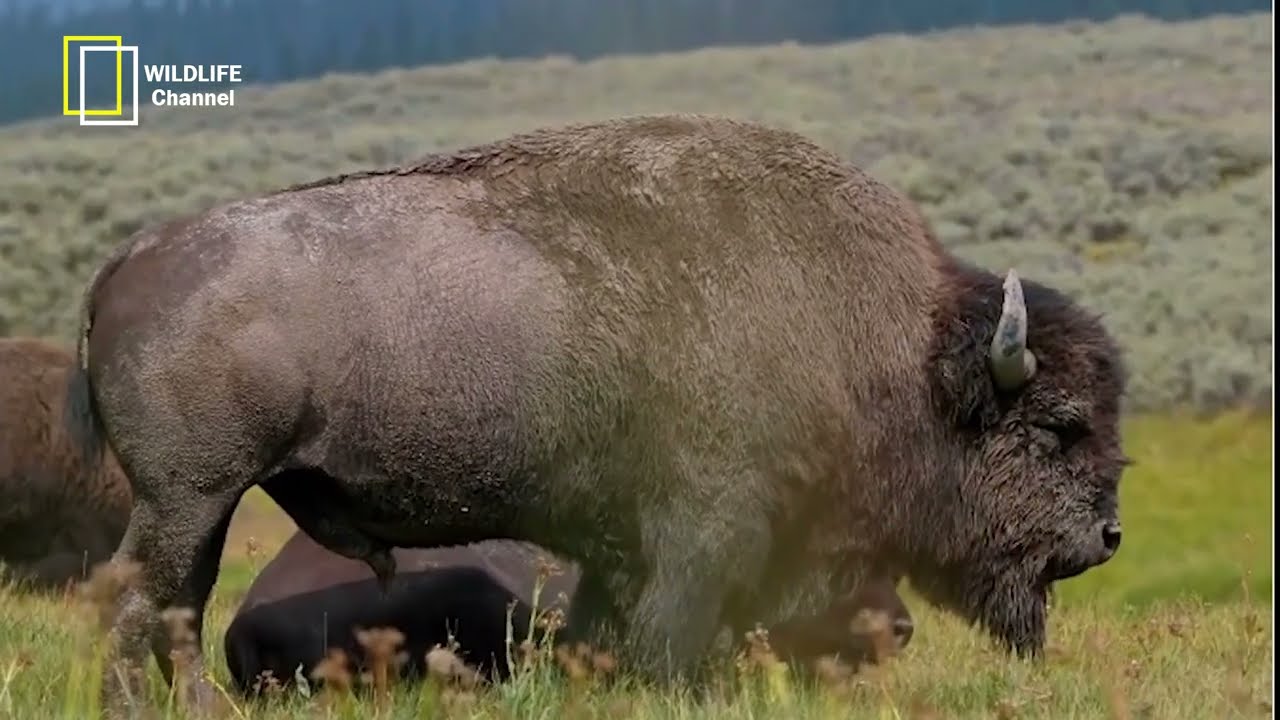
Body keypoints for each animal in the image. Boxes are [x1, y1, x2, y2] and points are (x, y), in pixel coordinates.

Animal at [67, 113, 1128, 714]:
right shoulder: (705, 533)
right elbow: (670, 634)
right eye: (1057, 424)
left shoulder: (620, 545)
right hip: (191, 495)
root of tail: (135, 255)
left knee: (173, 603)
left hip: (200, 504)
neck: (891, 349)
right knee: (144, 598)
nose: (1107, 536)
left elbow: (602, 632)